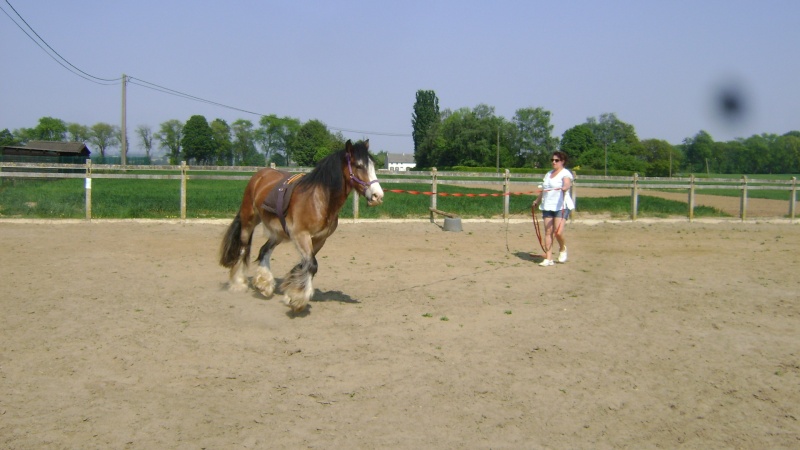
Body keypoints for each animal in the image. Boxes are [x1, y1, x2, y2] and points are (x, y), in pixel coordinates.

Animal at [217, 141, 382, 312]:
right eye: (359, 165)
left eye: (373, 165)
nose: (378, 196)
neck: (319, 199)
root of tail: (259, 175)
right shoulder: (301, 235)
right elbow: (312, 264)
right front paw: (297, 298)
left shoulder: (320, 239)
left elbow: (306, 264)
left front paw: (292, 290)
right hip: (249, 220)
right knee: (243, 249)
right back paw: (238, 283)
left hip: (279, 232)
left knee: (264, 250)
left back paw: (264, 284)